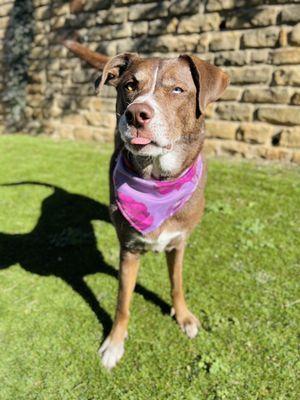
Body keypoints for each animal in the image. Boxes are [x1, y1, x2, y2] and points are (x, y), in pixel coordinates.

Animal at [64, 40, 229, 368]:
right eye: (130, 85)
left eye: (177, 89)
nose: (136, 114)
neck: (158, 183)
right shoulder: (129, 250)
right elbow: (122, 301)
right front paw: (114, 341)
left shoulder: (179, 243)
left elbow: (177, 282)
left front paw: (183, 316)